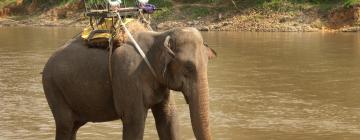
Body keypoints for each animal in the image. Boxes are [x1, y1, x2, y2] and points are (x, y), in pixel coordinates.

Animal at [42, 23, 217, 139]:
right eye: (188, 67)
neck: (159, 36)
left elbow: (169, 120)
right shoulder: (128, 75)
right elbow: (135, 121)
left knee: (74, 126)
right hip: (52, 87)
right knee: (65, 125)